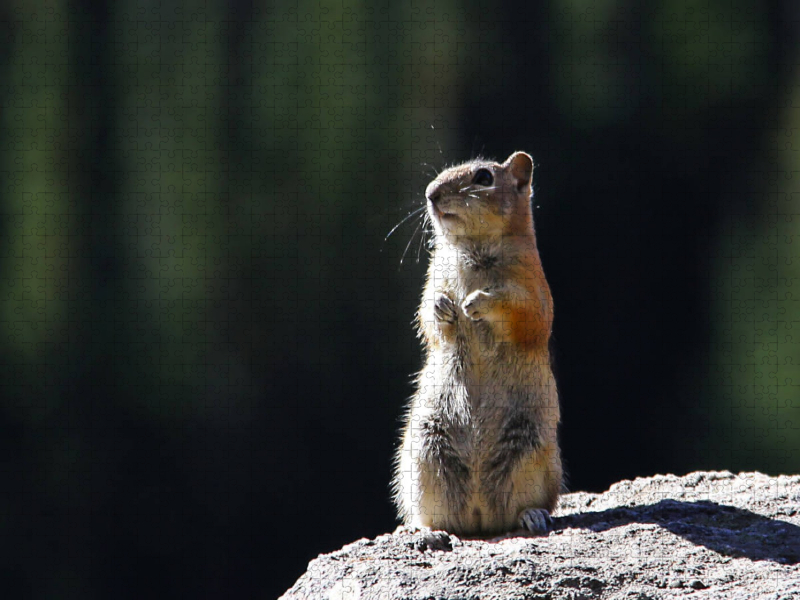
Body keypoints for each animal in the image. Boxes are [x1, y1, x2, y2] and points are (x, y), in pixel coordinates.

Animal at [392, 151, 562, 540]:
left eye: (484, 177)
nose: (430, 194)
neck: (471, 249)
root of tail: (480, 514)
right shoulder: (433, 276)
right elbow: (426, 315)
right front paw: (443, 306)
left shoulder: (533, 290)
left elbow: (522, 312)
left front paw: (478, 302)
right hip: (425, 454)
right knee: (437, 517)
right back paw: (428, 532)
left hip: (531, 452)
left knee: (523, 507)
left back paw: (532, 516)